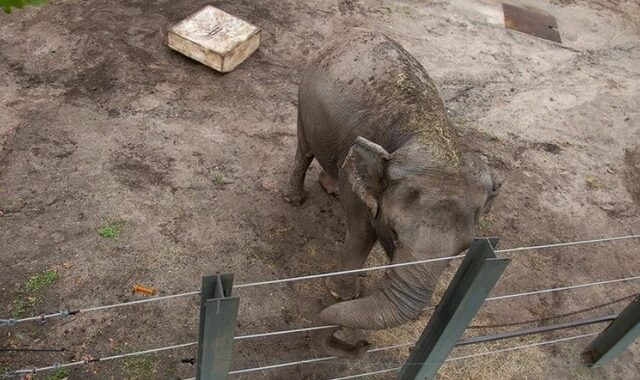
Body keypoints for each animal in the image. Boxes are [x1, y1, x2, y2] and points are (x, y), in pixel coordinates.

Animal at [284, 30, 500, 354]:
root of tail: (350, 34)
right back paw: (295, 199)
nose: (363, 343)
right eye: (395, 235)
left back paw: (331, 188)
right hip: (304, 101)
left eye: (462, 250)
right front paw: (343, 295)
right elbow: (361, 233)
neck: (429, 134)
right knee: (305, 149)